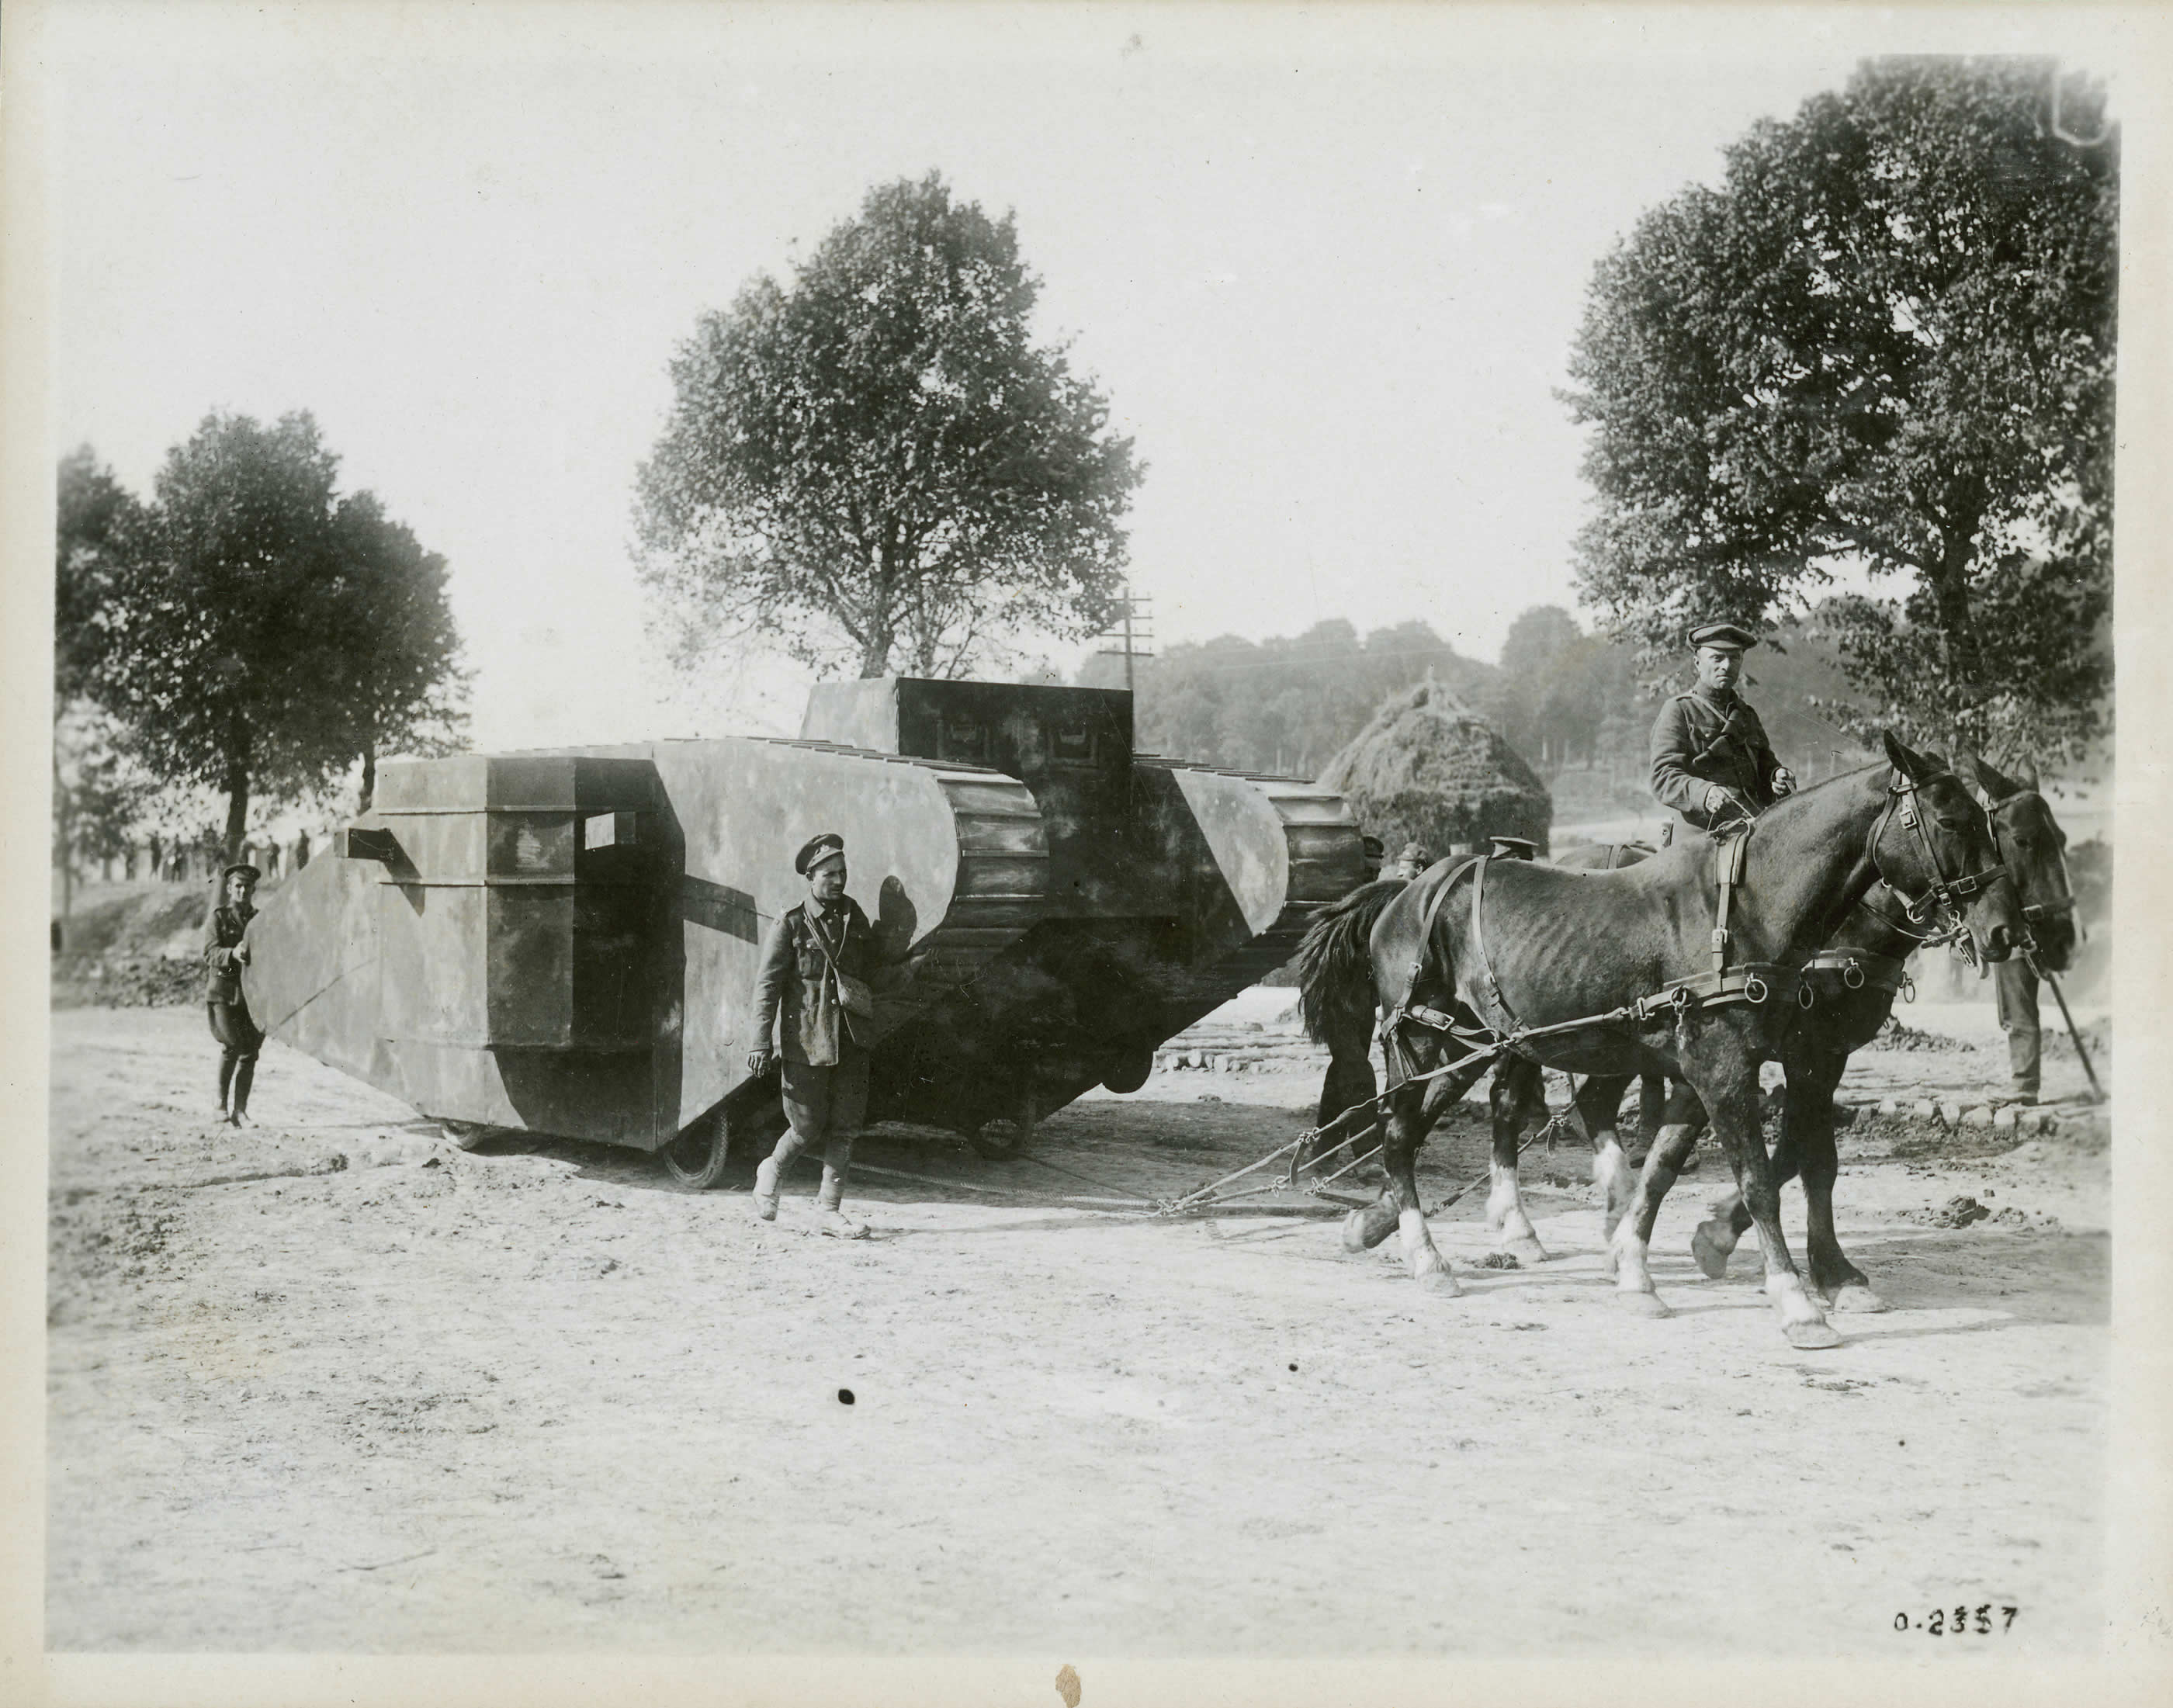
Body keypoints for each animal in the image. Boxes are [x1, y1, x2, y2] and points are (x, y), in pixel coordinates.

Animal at [1286, 729, 2016, 1347]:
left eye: (1988, 823)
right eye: (1949, 820)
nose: (2004, 930)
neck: (1747, 909)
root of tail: (1410, 889)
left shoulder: (1720, 1068)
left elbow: (1667, 1165)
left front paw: (1637, 1267)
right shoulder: (1734, 1066)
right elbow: (1761, 1178)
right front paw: (1798, 1300)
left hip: (1478, 1042)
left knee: (1443, 1123)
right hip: (1417, 1037)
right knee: (1399, 1134)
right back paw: (1427, 1256)